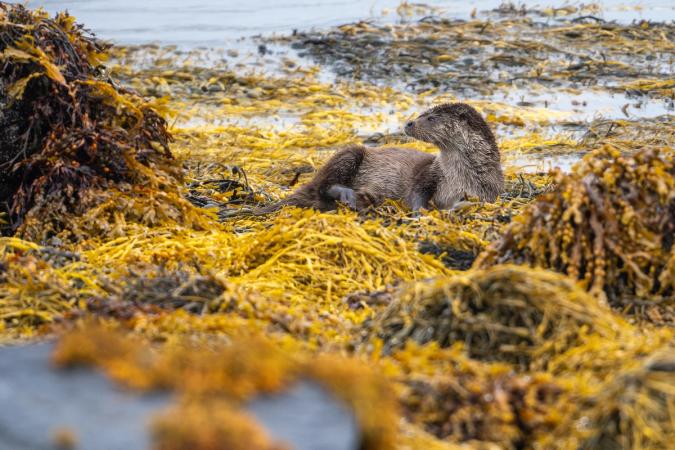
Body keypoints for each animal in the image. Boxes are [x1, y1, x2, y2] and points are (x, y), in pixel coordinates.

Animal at [262, 103, 504, 214]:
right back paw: (348, 196)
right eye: (422, 113)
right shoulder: (430, 172)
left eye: (431, 118)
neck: (458, 176)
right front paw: (422, 211)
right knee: (323, 187)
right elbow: (416, 192)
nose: (409, 123)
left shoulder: (489, 191)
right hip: (349, 155)